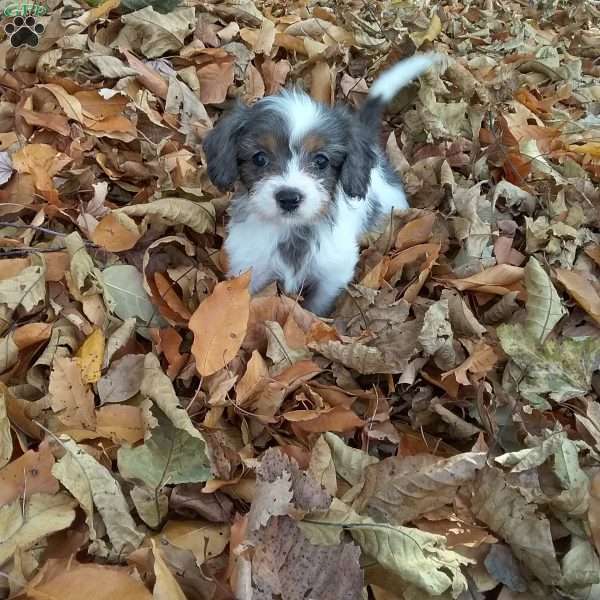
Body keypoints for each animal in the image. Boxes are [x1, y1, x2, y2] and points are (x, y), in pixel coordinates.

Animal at [205, 54, 440, 316]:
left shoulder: (331, 276)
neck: (292, 231)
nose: (289, 198)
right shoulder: (249, 270)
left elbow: (317, 308)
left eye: (321, 161)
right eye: (259, 158)